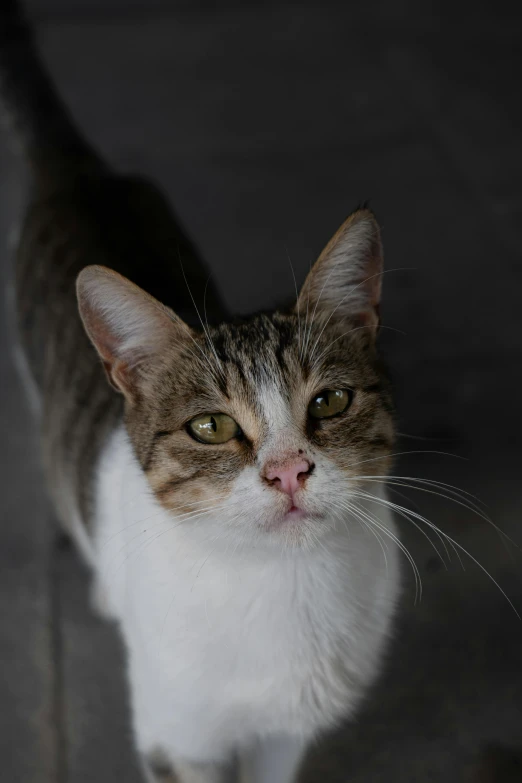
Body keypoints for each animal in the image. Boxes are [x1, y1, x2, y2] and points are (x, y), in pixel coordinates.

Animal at [1, 1, 398, 783]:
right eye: (211, 427)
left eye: (329, 402)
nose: (288, 470)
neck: (283, 586)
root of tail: (83, 175)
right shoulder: (178, 738)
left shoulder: (284, 733)